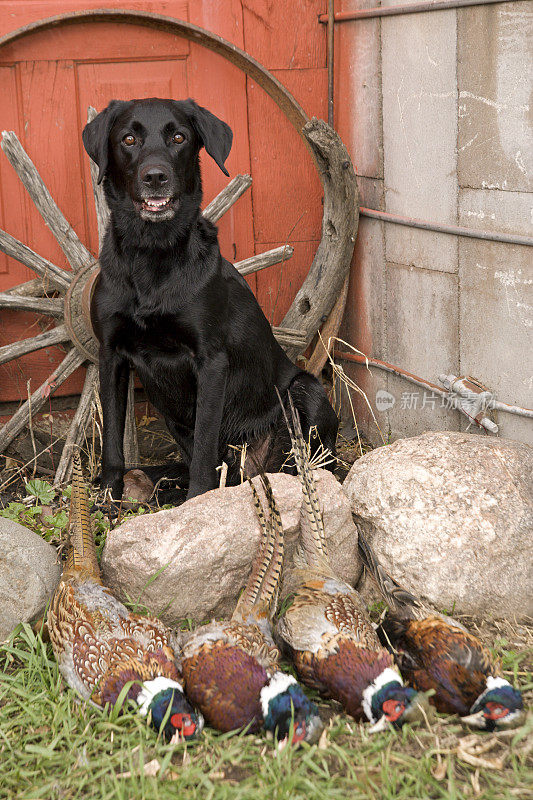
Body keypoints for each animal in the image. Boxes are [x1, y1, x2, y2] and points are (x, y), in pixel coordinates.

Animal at [82, 98, 336, 500]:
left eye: (178, 137)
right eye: (128, 139)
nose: (155, 176)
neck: (151, 254)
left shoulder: (211, 361)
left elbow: (204, 445)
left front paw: (198, 501)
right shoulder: (111, 356)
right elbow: (112, 439)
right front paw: (109, 495)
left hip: (306, 390)